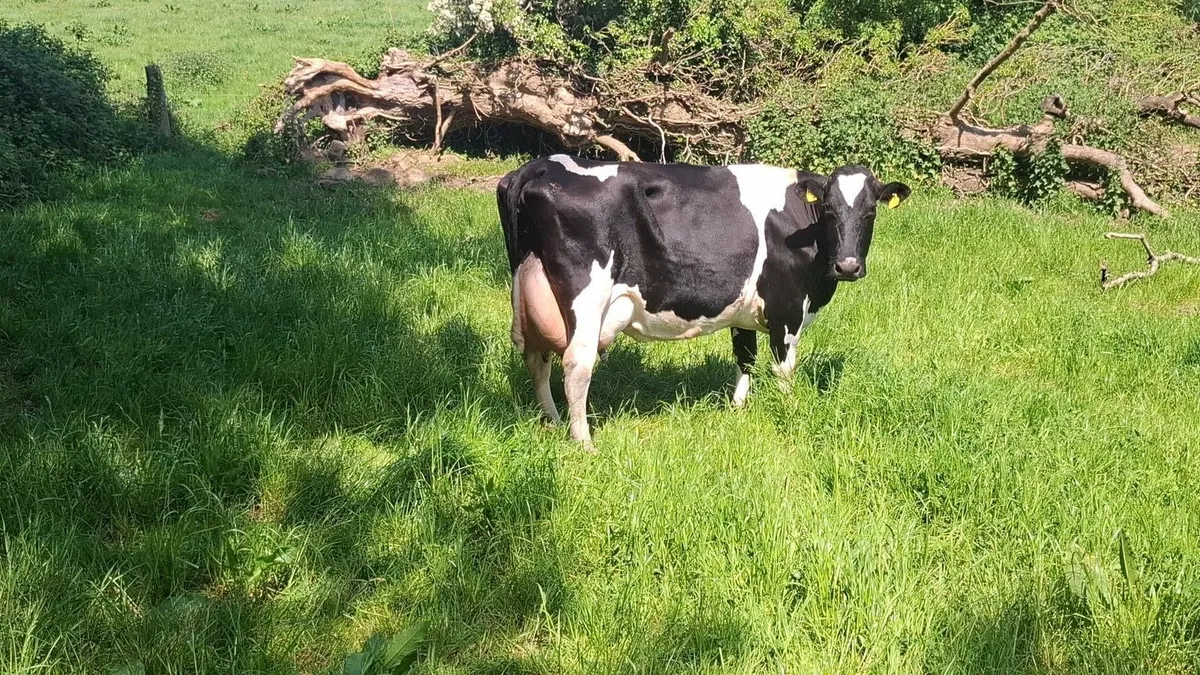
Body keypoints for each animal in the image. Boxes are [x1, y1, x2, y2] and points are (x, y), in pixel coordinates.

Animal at [497, 154, 910, 449]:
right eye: (828, 210)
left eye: (870, 212)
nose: (848, 266)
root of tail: (540, 165)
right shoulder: (788, 309)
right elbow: (784, 368)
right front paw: (791, 409)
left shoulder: (745, 313)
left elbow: (745, 357)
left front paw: (738, 409)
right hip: (587, 298)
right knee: (575, 365)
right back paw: (583, 442)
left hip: (530, 289)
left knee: (535, 357)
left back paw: (552, 422)